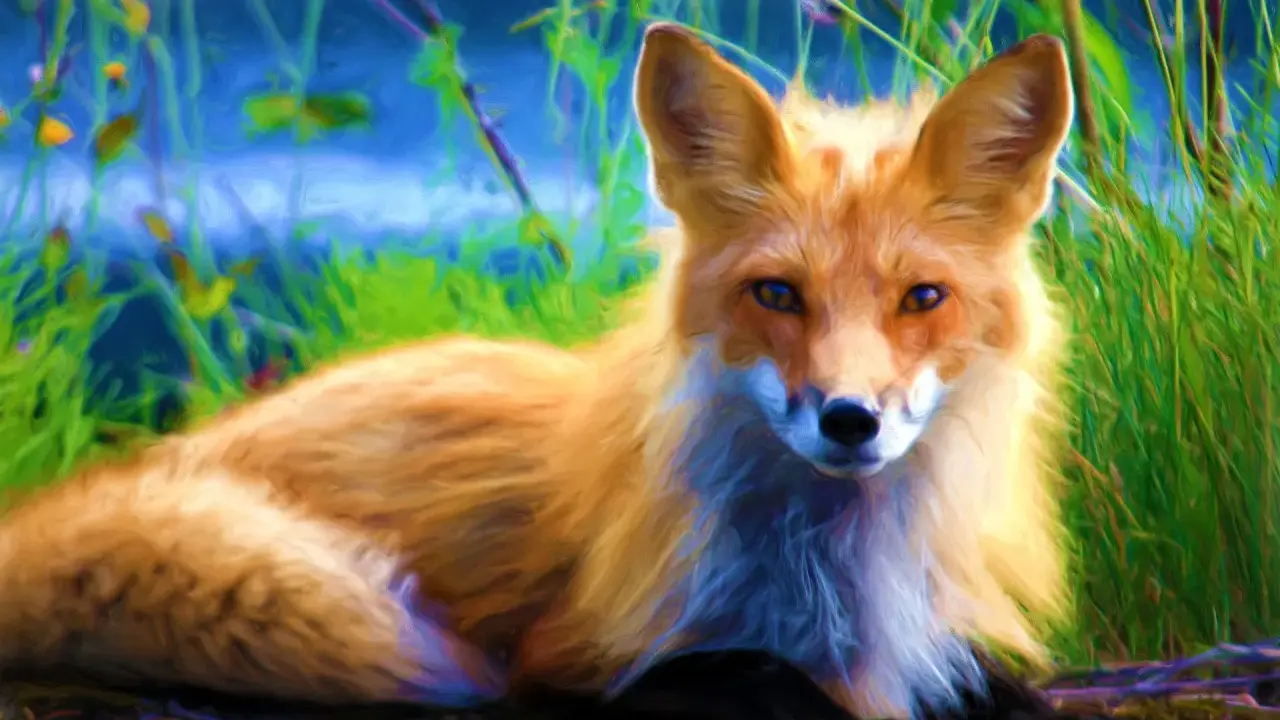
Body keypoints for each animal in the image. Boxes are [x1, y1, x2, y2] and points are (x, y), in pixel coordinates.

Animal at [0, 23, 1076, 720]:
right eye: (776, 294)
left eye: (921, 298)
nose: (849, 419)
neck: (831, 581)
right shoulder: (574, 659)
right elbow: (753, 676)